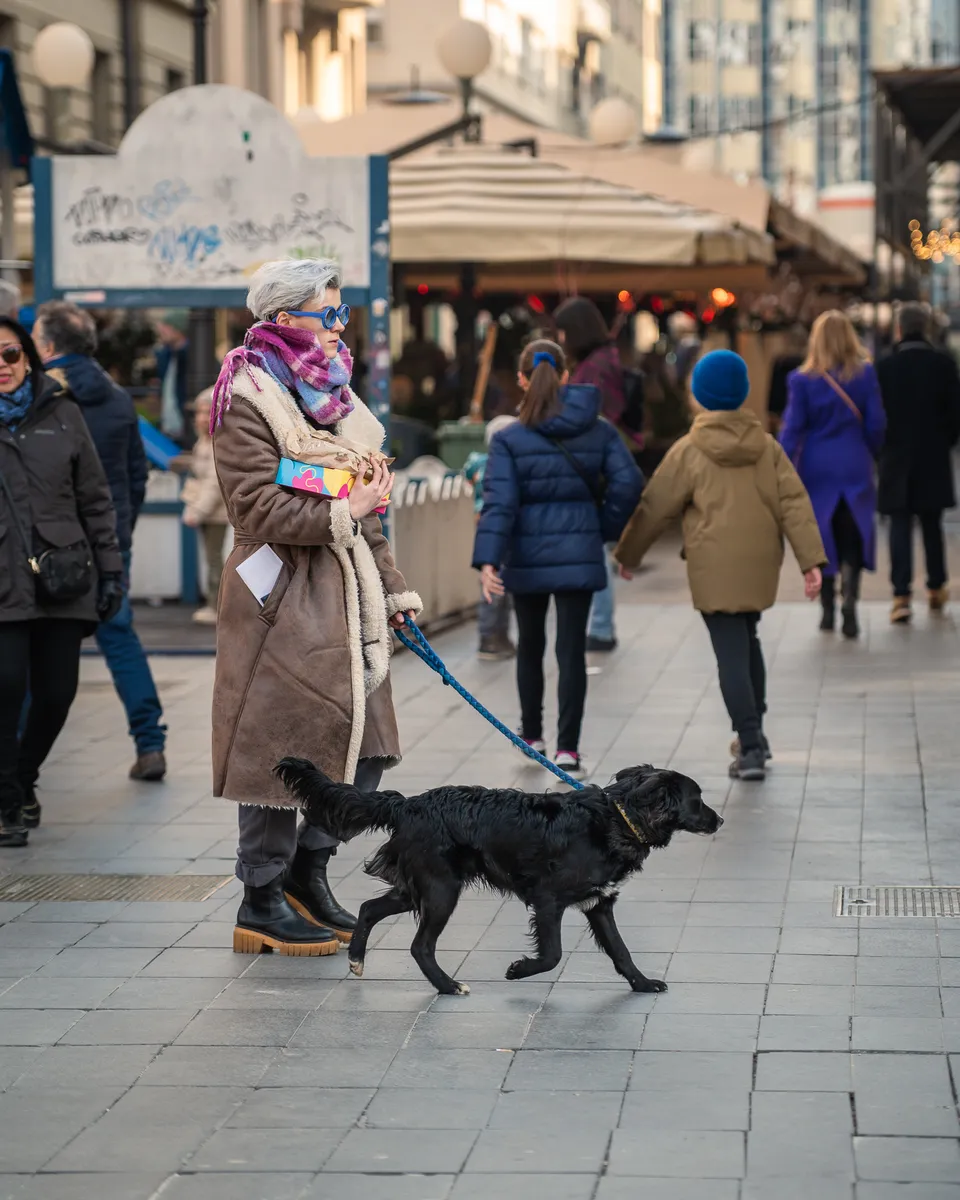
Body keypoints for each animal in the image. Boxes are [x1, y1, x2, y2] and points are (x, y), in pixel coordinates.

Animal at [272, 763, 720, 998]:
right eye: (698, 800)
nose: (719, 820)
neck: (618, 817)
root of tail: (409, 804)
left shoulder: (600, 904)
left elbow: (622, 951)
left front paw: (642, 984)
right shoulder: (548, 899)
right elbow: (552, 954)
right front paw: (519, 970)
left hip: (416, 887)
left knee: (369, 908)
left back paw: (357, 960)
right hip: (441, 891)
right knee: (420, 946)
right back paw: (448, 986)